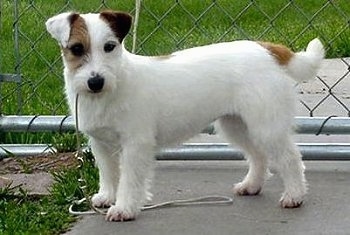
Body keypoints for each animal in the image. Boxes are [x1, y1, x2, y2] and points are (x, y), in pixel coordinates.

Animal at [45, 9, 324, 222]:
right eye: (76, 49)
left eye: (109, 47)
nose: (96, 81)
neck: (115, 84)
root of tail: (267, 48)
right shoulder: (101, 145)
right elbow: (108, 173)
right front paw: (107, 196)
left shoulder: (135, 145)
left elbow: (129, 180)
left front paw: (124, 207)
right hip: (236, 125)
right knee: (258, 156)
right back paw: (251, 185)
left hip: (267, 127)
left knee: (290, 159)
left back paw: (294, 196)